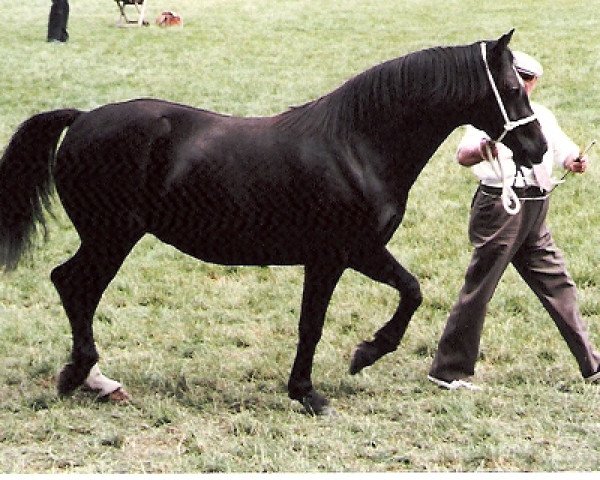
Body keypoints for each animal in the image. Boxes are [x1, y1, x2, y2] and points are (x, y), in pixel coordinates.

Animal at [0, 31, 544, 412]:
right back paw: (80, 375)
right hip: (111, 236)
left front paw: (359, 357)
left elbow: (409, 292)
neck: (357, 144)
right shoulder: (336, 256)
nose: (537, 148)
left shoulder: (360, 253)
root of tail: (82, 118)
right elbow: (317, 323)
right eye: (511, 86)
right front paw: (315, 387)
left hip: (108, 238)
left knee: (76, 288)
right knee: (73, 285)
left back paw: (93, 379)